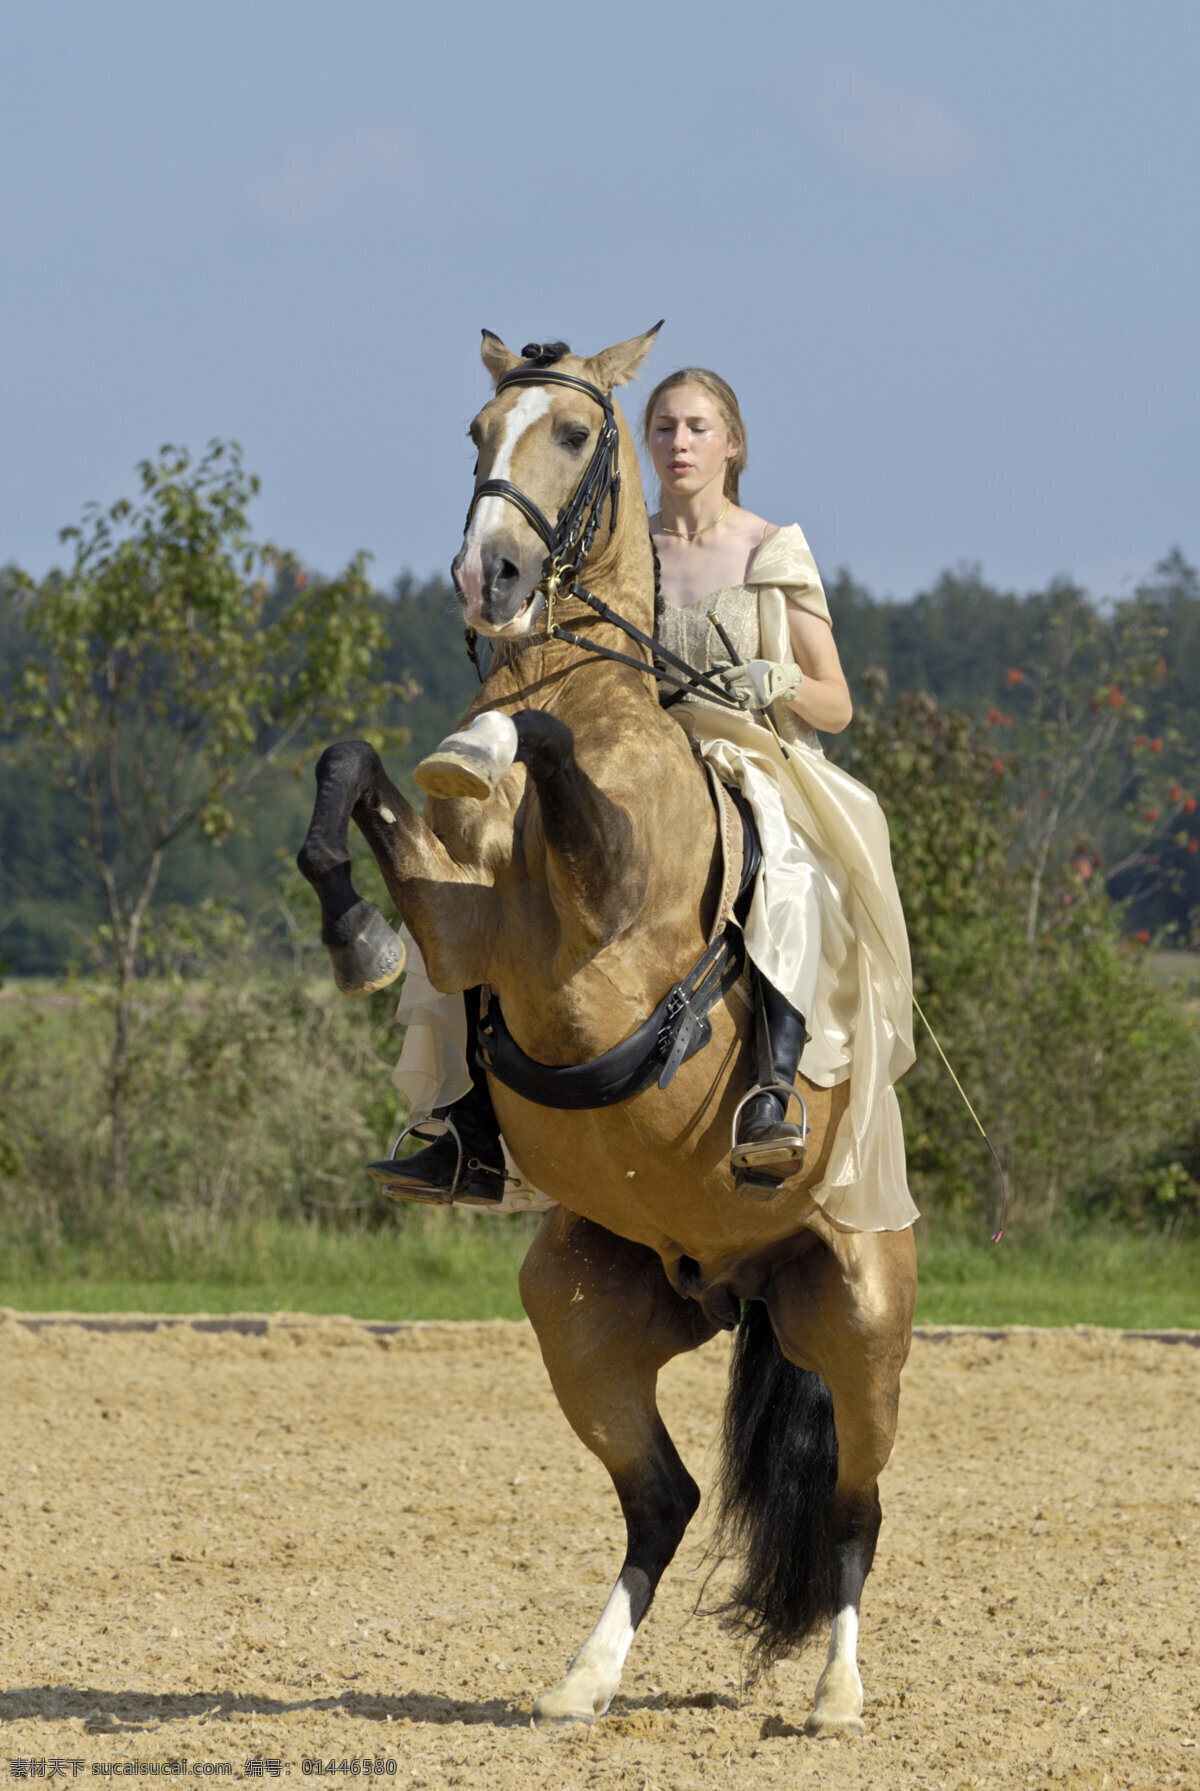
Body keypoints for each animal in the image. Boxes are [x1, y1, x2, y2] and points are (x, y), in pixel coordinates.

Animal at [300, 325, 924, 1733]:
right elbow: (351, 769)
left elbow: (534, 743)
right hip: (580, 1310)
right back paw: (581, 1680)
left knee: (855, 1507)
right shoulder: (459, 923)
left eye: (577, 435)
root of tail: (736, 1281)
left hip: (862, 1313)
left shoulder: (607, 921)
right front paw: (357, 934)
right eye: (476, 431)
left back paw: (836, 1697)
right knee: (666, 1499)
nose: (488, 576)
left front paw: (487, 739)